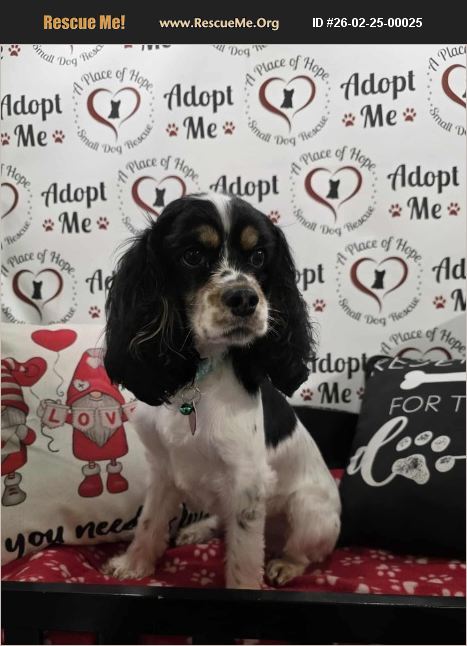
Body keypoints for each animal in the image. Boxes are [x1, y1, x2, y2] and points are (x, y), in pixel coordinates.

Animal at [103, 193, 341, 588]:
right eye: (192, 255)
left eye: (258, 256)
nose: (244, 298)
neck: (198, 380)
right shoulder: (162, 468)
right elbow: (150, 522)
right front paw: (133, 565)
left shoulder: (247, 483)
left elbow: (244, 559)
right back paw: (197, 529)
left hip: (311, 512)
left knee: (304, 551)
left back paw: (285, 565)